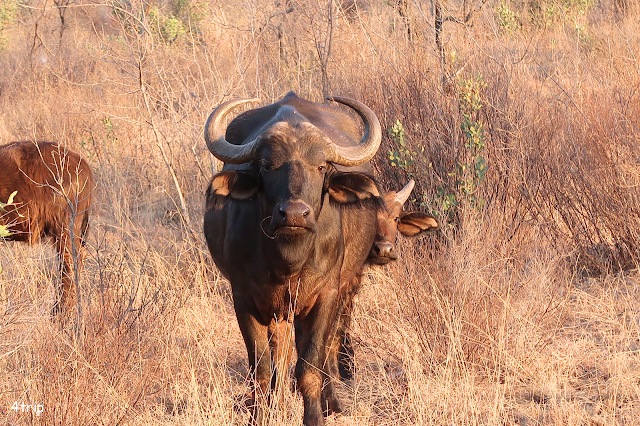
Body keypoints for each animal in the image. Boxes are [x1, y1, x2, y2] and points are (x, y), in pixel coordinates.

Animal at [205, 91, 382, 424]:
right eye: (266, 165)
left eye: (321, 166)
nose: (295, 214)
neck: (288, 260)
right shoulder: (243, 298)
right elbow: (261, 369)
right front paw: (260, 415)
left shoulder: (326, 295)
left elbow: (310, 365)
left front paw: (315, 415)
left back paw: (331, 402)